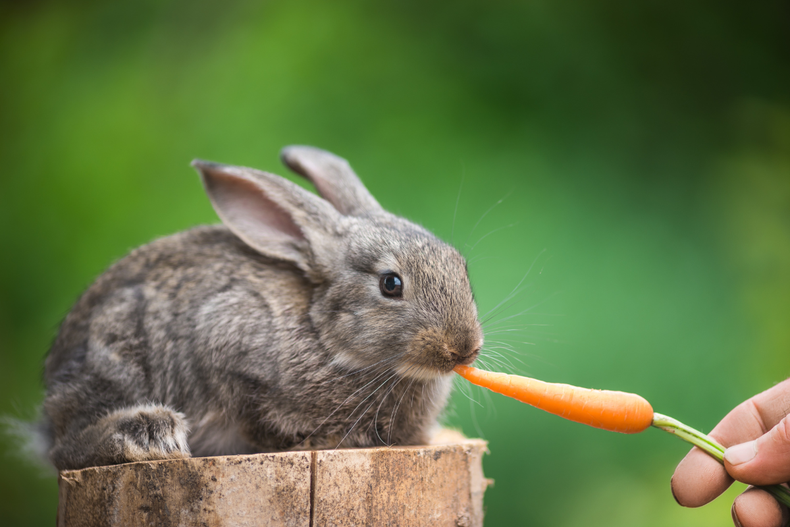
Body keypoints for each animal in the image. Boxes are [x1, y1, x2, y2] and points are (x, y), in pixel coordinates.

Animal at [38, 146, 483, 471]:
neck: (326, 338)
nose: (464, 348)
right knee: (64, 450)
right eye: (391, 284)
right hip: (118, 350)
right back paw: (147, 432)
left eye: (461, 266)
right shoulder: (225, 340)